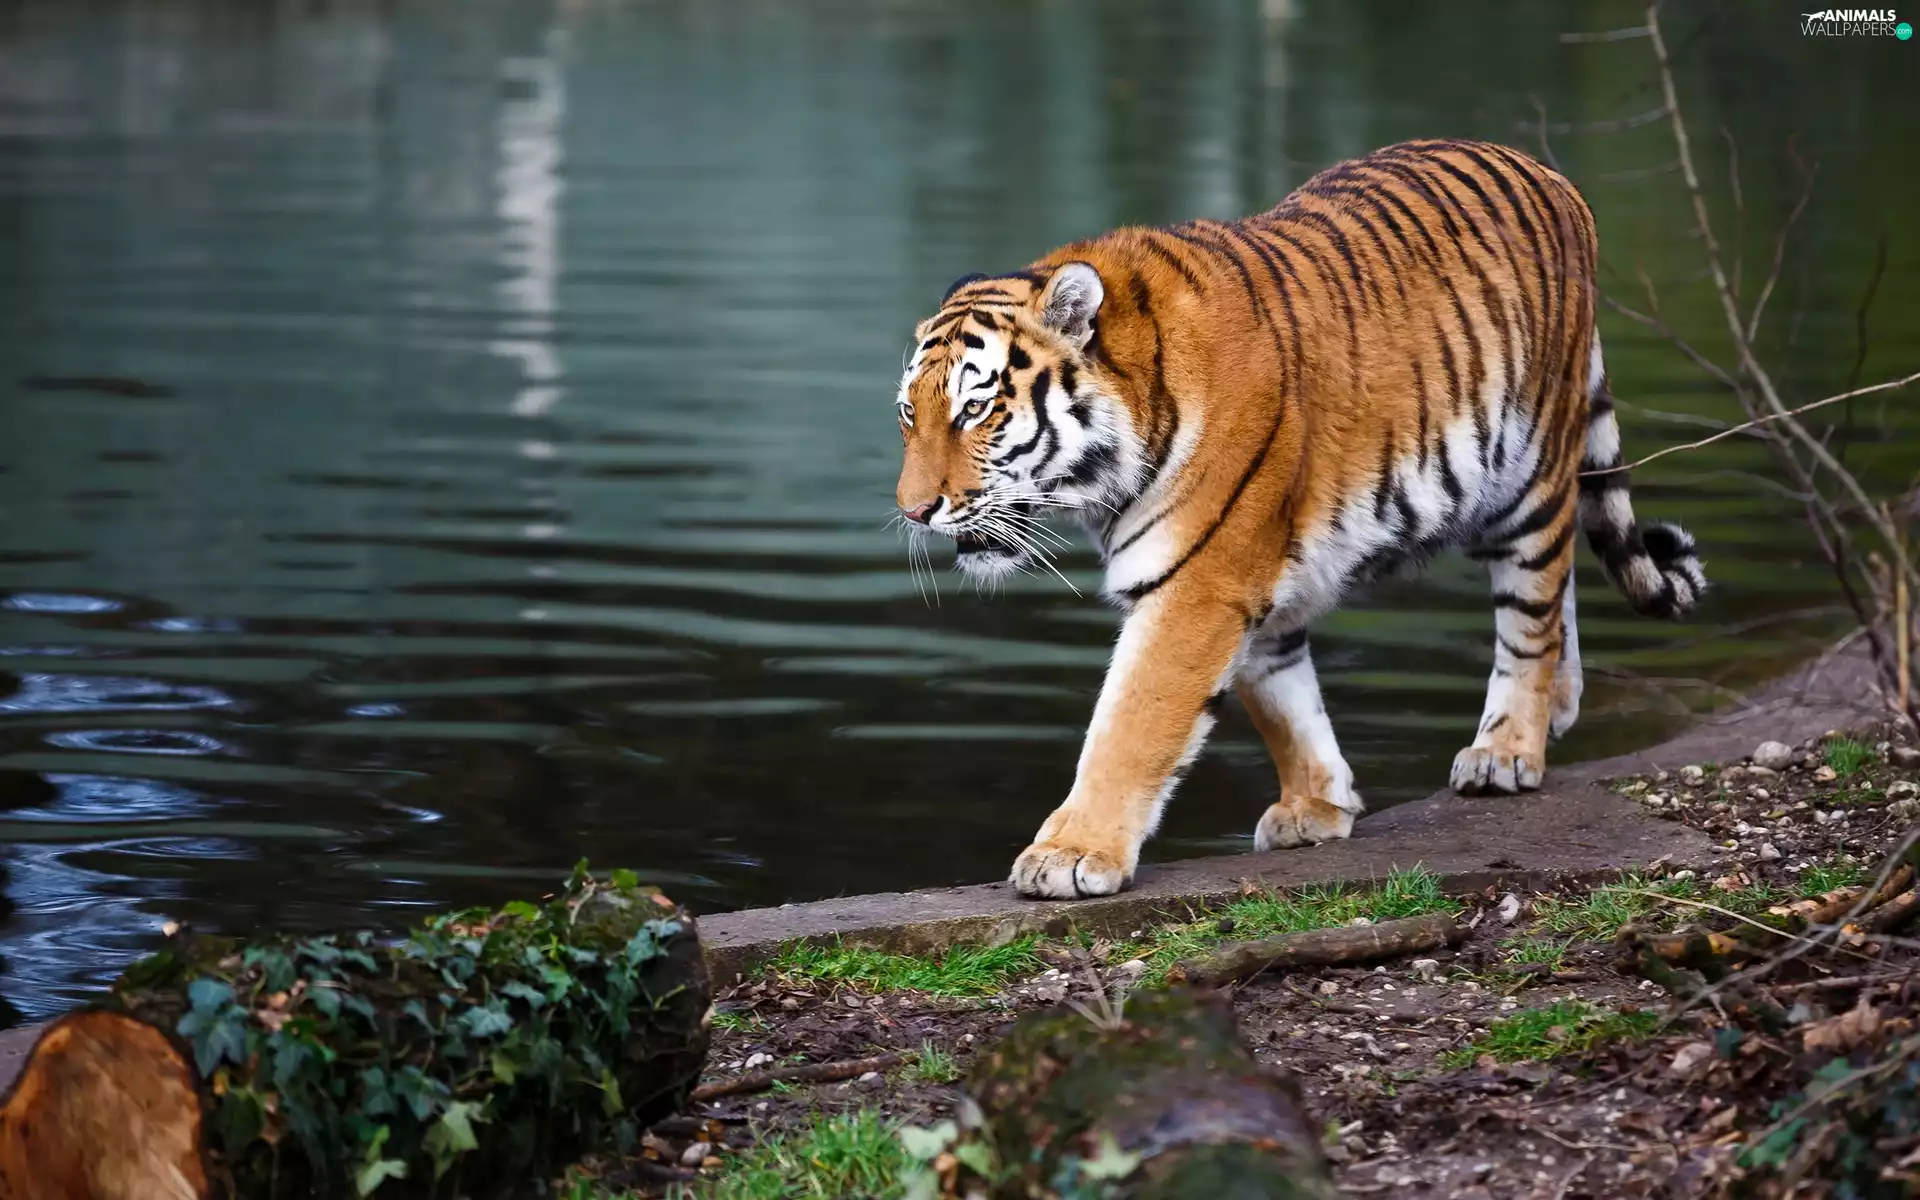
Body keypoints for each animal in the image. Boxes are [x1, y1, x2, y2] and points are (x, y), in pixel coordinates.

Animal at [892, 138, 1705, 900]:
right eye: (909, 413)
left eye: (976, 410)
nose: (913, 510)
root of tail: (1546, 172)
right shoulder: (1255, 579)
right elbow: (1282, 696)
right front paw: (1316, 806)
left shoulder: (1200, 584)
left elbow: (1131, 726)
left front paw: (1069, 855)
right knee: (1560, 582)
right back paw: (1559, 706)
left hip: (1527, 477)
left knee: (1532, 609)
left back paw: (1506, 752)